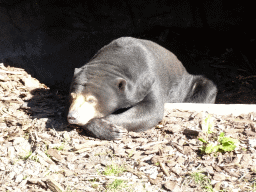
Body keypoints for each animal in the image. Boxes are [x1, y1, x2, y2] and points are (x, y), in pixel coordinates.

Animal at [67, 37, 217, 140]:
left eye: (91, 100)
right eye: (72, 97)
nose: (72, 117)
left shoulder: (150, 80)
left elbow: (149, 110)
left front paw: (114, 129)